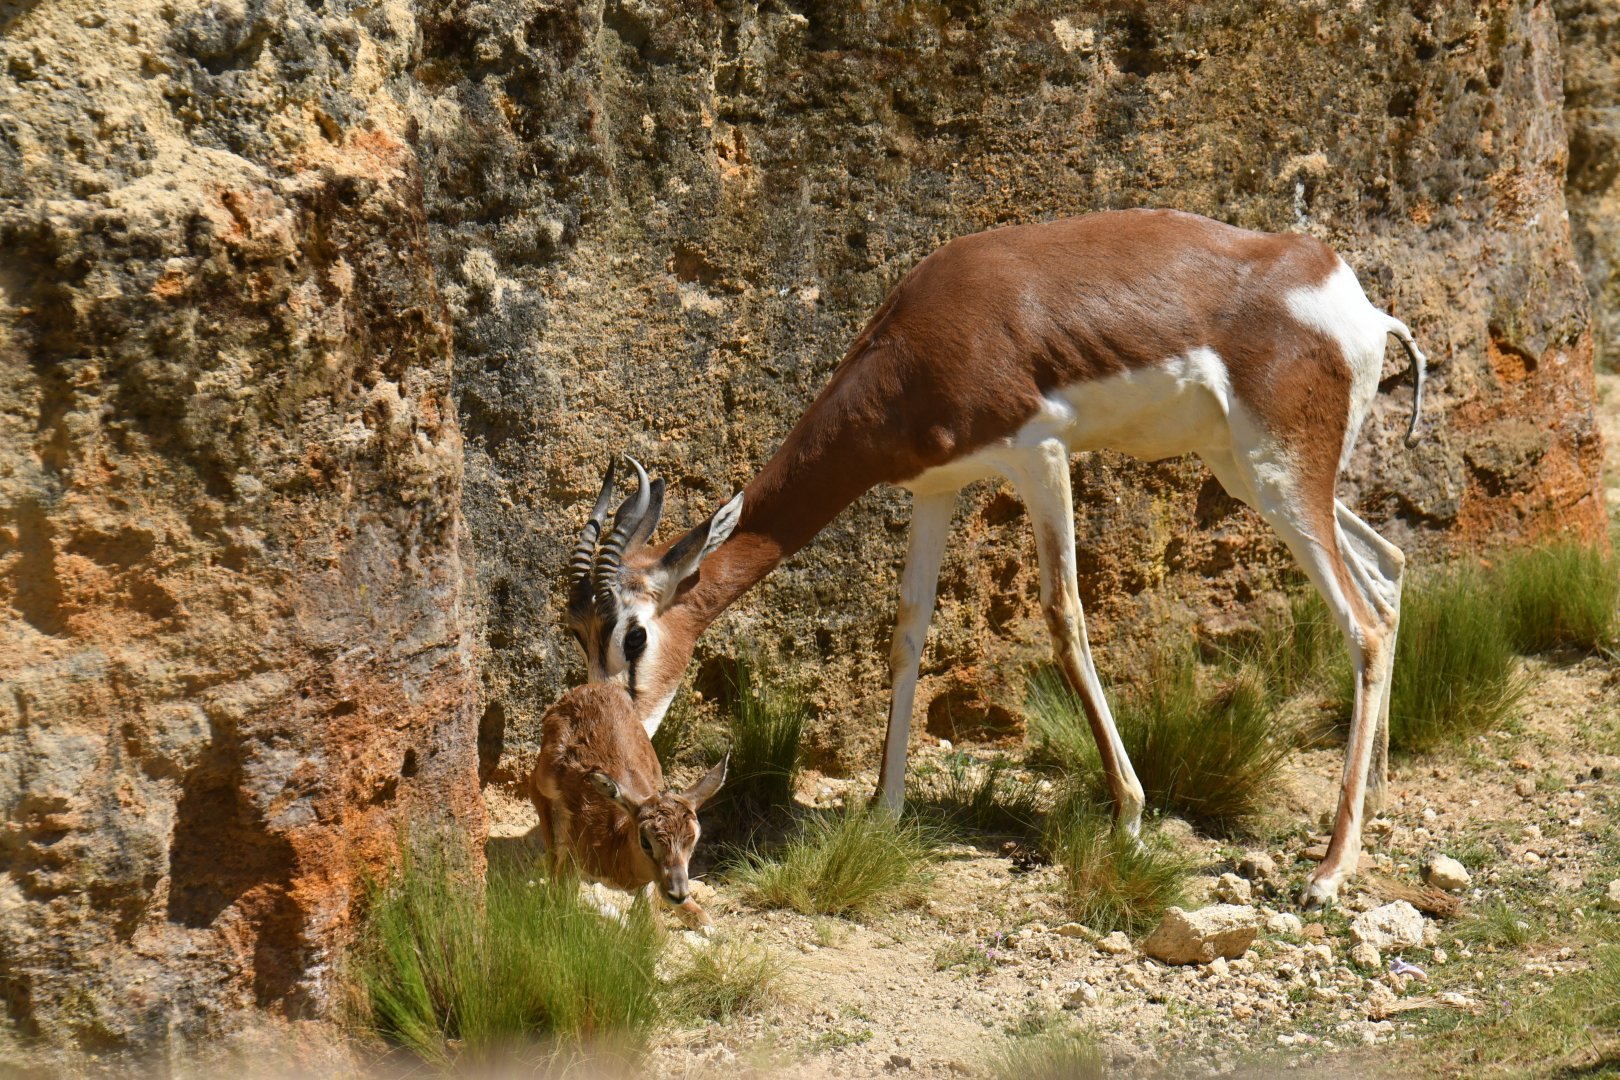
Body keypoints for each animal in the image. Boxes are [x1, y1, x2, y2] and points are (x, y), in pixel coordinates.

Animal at [528, 681, 728, 928]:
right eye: (645, 841)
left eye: (694, 839)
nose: (677, 893)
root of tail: (593, 688)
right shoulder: (573, 857)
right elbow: (564, 902)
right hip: (544, 785)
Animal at [565, 208, 1428, 907]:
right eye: (578, 635)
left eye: (632, 635)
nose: (612, 733)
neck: (924, 337)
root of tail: (1355, 300)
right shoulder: (936, 487)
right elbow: (907, 635)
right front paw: (884, 810)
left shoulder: (1039, 454)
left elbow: (1064, 618)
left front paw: (1130, 815)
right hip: (1246, 472)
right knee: (1387, 569)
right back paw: (1379, 795)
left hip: (1279, 475)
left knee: (1363, 624)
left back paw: (1328, 872)